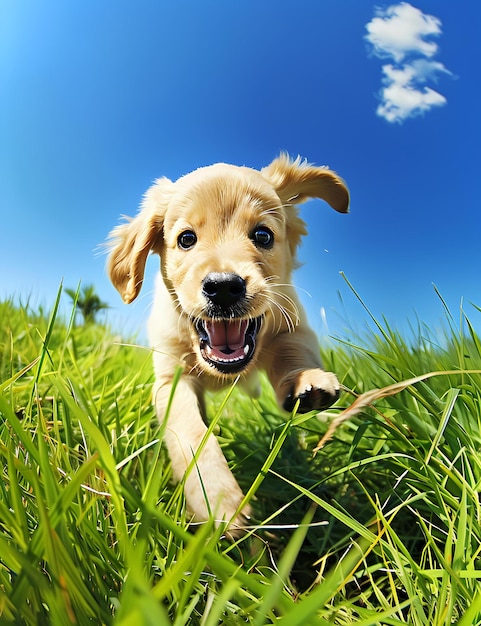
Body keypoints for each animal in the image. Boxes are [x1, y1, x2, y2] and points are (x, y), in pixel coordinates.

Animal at [107, 154, 346, 528]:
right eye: (186, 239)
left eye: (262, 235)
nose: (222, 287)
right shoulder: (171, 380)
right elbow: (191, 432)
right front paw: (219, 502)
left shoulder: (291, 322)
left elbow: (292, 349)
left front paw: (306, 380)